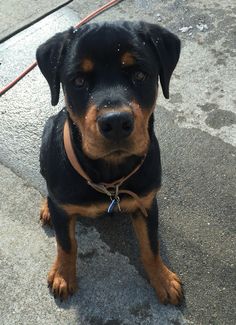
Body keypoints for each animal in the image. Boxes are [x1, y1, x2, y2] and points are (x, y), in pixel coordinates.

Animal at [36, 20, 182, 304]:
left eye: (140, 75)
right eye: (79, 81)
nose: (115, 122)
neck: (109, 172)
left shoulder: (146, 202)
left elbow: (151, 246)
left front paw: (163, 279)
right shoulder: (64, 209)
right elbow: (66, 244)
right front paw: (63, 274)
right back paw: (48, 206)